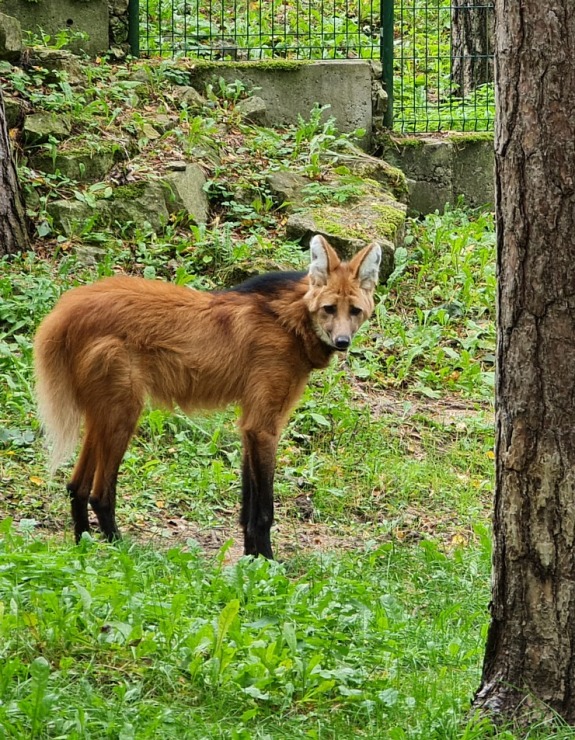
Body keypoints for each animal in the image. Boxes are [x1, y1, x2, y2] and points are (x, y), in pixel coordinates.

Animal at [33, 234, 380, 556]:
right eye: (329, 309)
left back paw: (84, 545)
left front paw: (251, 561)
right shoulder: (264, 426)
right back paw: (123, 551)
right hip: (124, 412)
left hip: (103, 411)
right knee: (99, 494)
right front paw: (269, 564)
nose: (342, 341)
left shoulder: (249, 423)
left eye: (355, 311)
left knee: (75, 486)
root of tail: (67, 308)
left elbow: (247, 508)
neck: (290, 322)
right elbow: (264, 511)